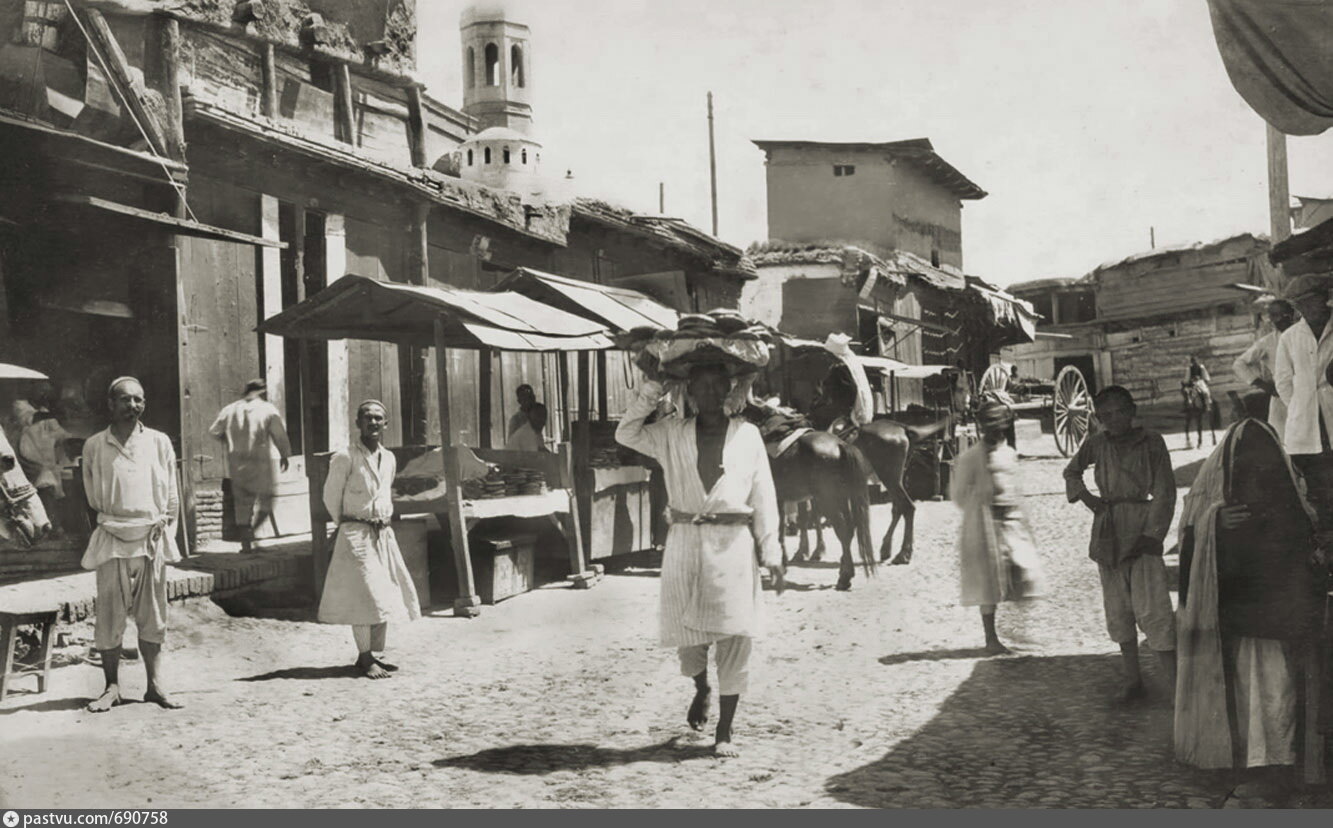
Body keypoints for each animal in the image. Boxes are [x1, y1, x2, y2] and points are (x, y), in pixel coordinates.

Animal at [741, 402, 874, 592]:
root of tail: (840, 444)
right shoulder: (780, 498)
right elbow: (781, 527)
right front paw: (782, 563)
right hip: (840, 498)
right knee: (849, 528)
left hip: (829, 500)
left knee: (843, 529)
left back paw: (844, 577)